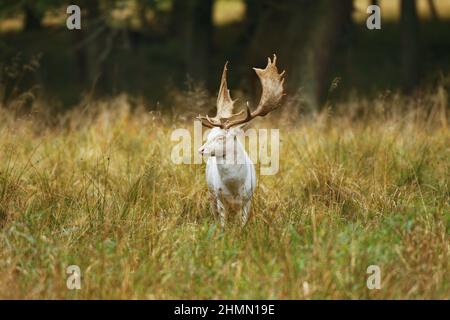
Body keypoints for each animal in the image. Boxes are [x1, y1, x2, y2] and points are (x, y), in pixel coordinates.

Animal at [197, 53, 284, 226]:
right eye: (208, 135)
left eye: (221, 137)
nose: (201, 150)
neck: (234, 187)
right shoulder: (220, 198)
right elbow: (223, 224)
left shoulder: (248, 198)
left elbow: (242, 224)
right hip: (211, 194)